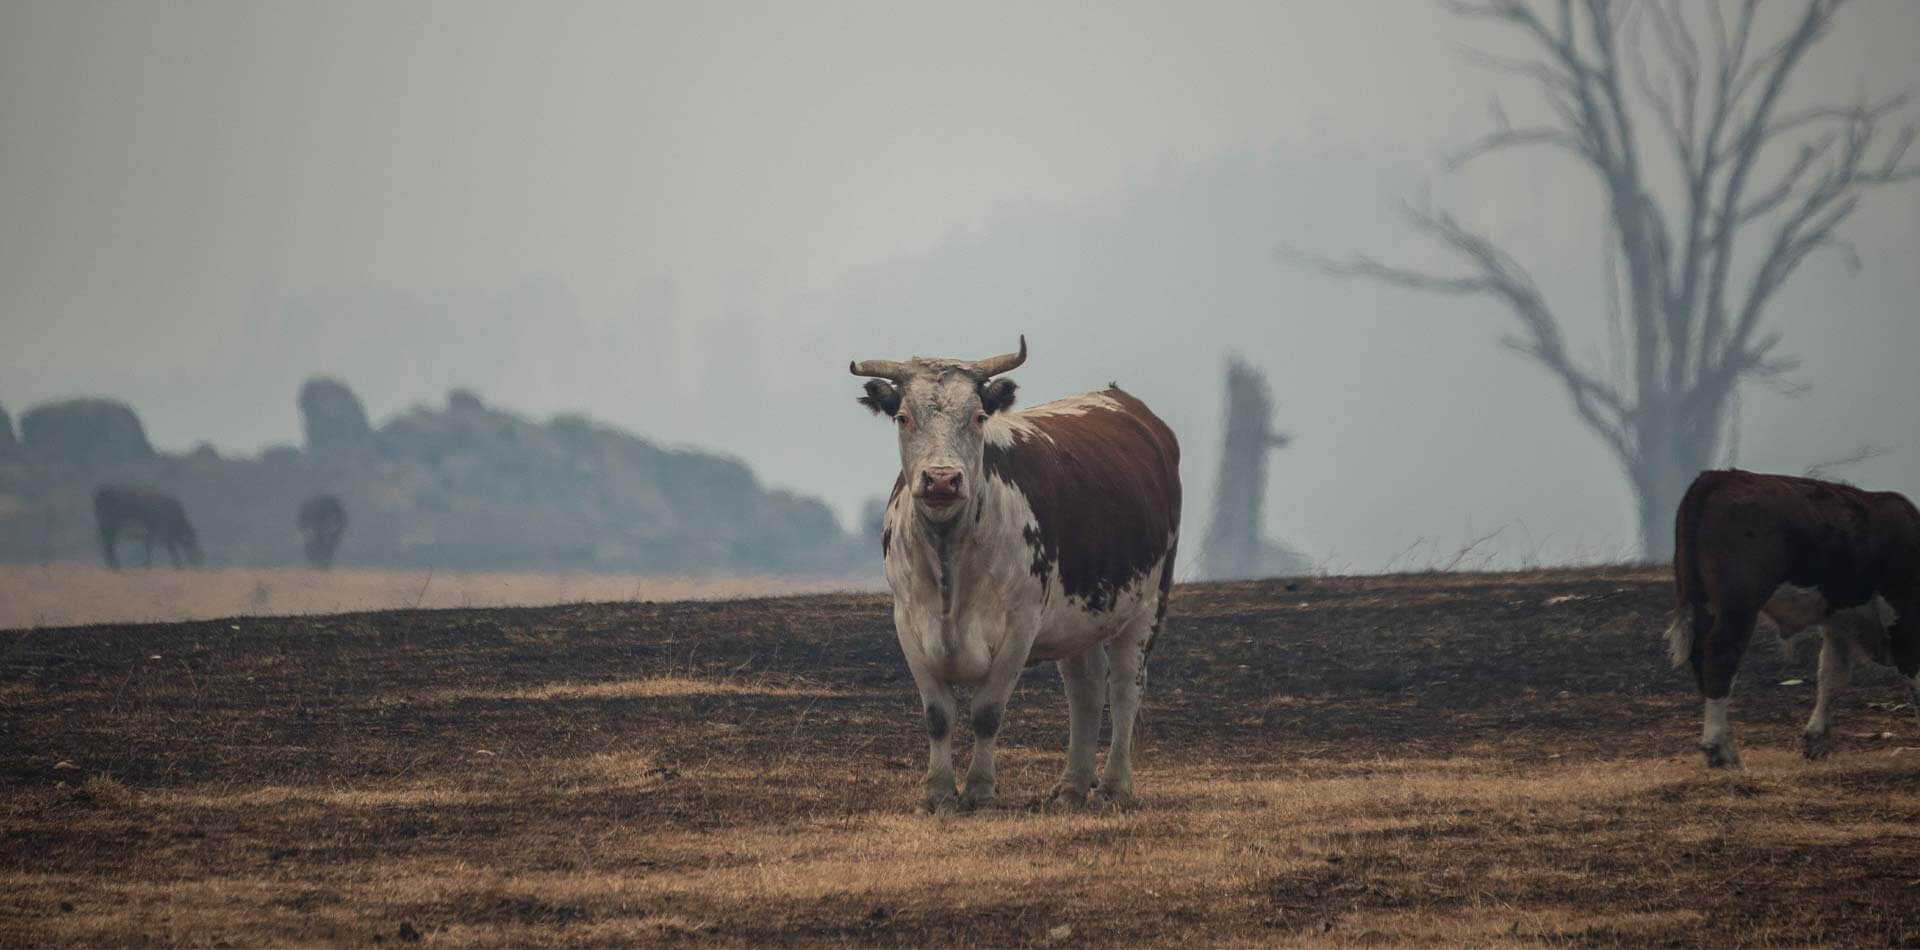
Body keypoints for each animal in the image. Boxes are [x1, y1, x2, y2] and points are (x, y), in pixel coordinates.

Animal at [848, 337, 1175, 813]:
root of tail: (1123, 402)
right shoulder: (908, 623)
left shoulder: (1019, 628)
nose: (942, 480)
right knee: (1086, 692)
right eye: (904, 417)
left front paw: (981, 791)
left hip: (1147, 604)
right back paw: (1072, 786)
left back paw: (1113, 786)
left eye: (978, 417)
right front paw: (938, 792)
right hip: (1078, 619)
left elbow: (986, 713)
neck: (950, 564)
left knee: (1124, 689)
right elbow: (937, 716)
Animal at [1666, 472, 1920, 771]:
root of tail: (1723, 476)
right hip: (1738, 605)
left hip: (1704, 602)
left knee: (1701, 657)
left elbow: (1832, 676)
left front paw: (1815, 740)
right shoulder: (1904, 616)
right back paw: (1719, 750)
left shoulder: (1838, 623)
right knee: (1720, 656)